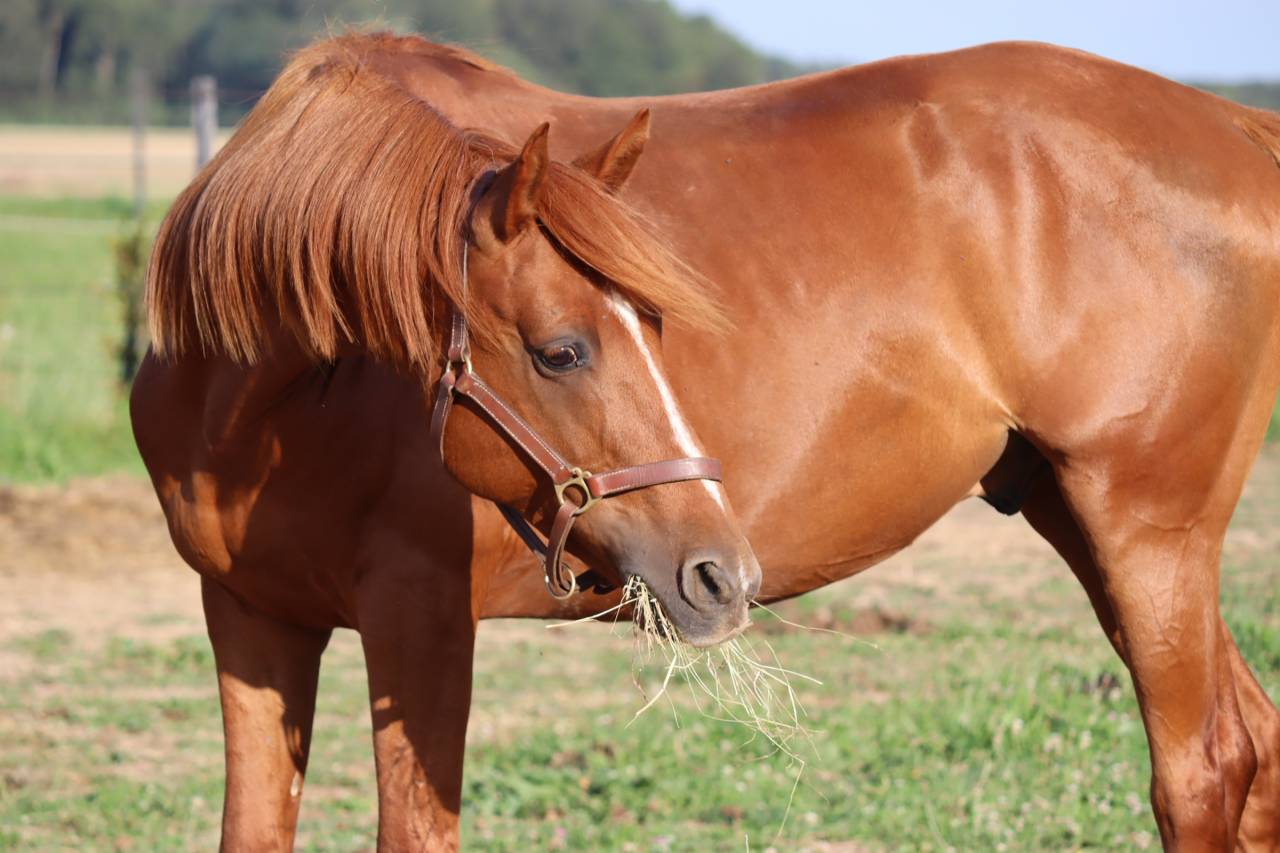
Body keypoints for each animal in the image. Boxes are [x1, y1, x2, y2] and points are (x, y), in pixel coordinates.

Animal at [132, 33, 1280, 850]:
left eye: (655, 323)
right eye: (560, 350)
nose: (722, 572)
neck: (272, 402)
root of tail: (1237, 126)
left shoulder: (419, 619)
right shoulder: (252, 617)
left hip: (1148, 535)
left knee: (1200, 771)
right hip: (1083, 520)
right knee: (1253, 748)